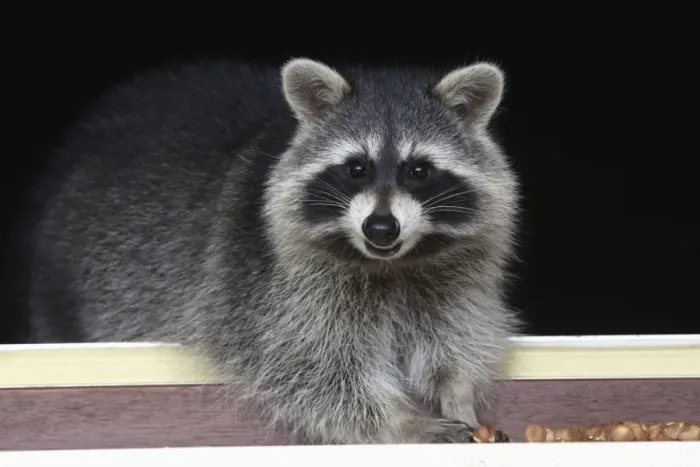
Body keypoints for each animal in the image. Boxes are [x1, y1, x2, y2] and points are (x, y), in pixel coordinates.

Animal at [25, 57, 521, 444]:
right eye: (355, 169)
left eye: (419, 170)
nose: (381, 227)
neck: (391, 263)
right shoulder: (265, 287)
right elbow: (309, 369)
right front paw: (400, 423)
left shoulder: (457, 271)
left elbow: (456, 332)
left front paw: (458, 390)